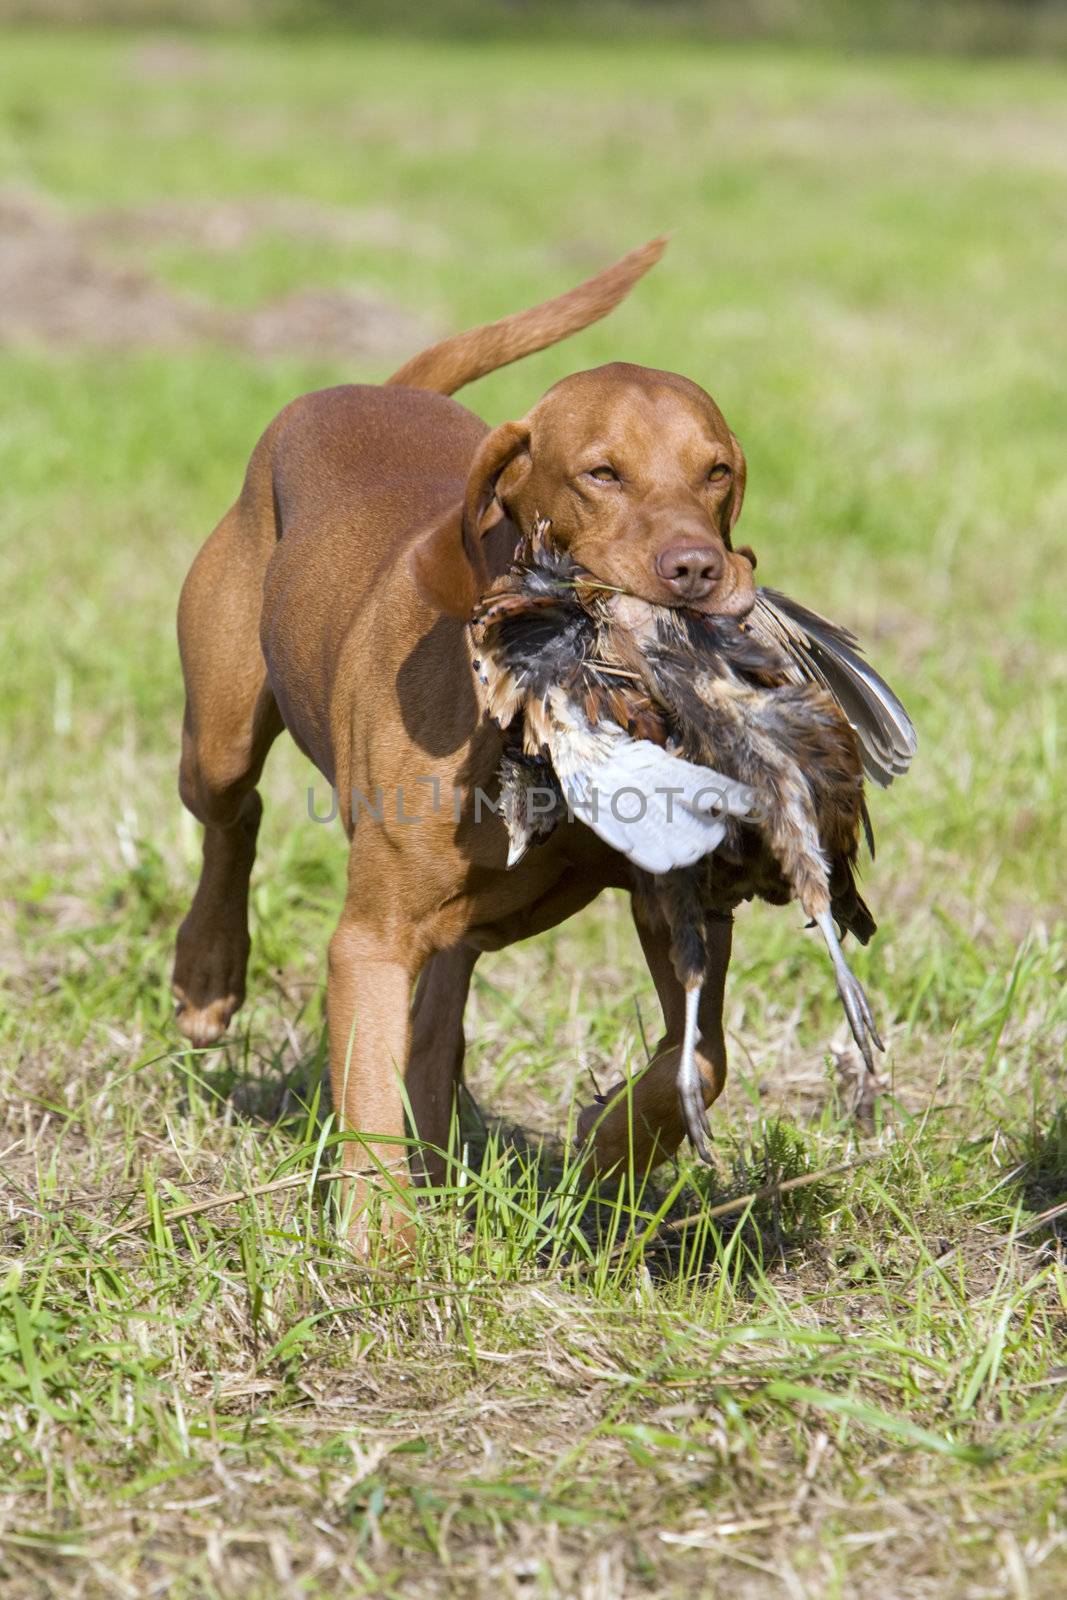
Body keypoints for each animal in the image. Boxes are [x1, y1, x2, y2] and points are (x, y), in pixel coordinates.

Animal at [173, 236, 758, 1241]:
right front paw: (379, 1246)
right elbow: (366, 1096)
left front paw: (605, 1151)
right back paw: (209, 974)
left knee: (445, 991)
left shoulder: (675, 908)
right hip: (216, 738)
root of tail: (374, 387)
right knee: (233, 814)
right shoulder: (369, 942)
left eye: (714, 470)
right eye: (602, 473)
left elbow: (703, 1058)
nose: (696, 569)